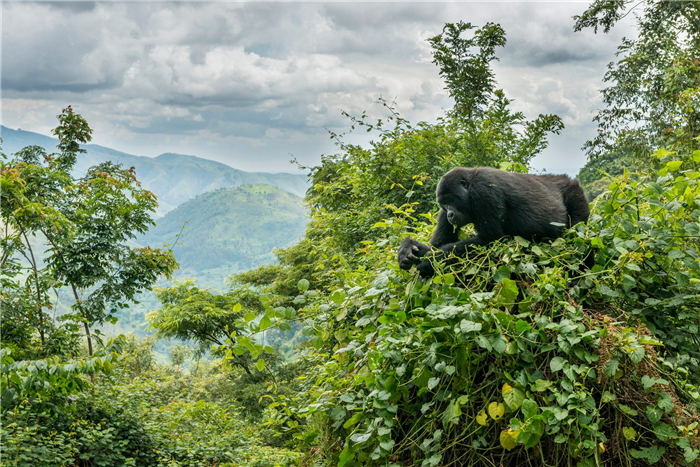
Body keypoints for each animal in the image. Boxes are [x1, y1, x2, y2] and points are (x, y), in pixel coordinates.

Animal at [396, 167, 588, 278]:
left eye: (451, 200)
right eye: (443, 203)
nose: (450, 214)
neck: (470, 184)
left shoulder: (483, 191)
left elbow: (490, 239)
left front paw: (430, 262)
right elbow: (439, 243)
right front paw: (409, 248)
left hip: (575, 196)